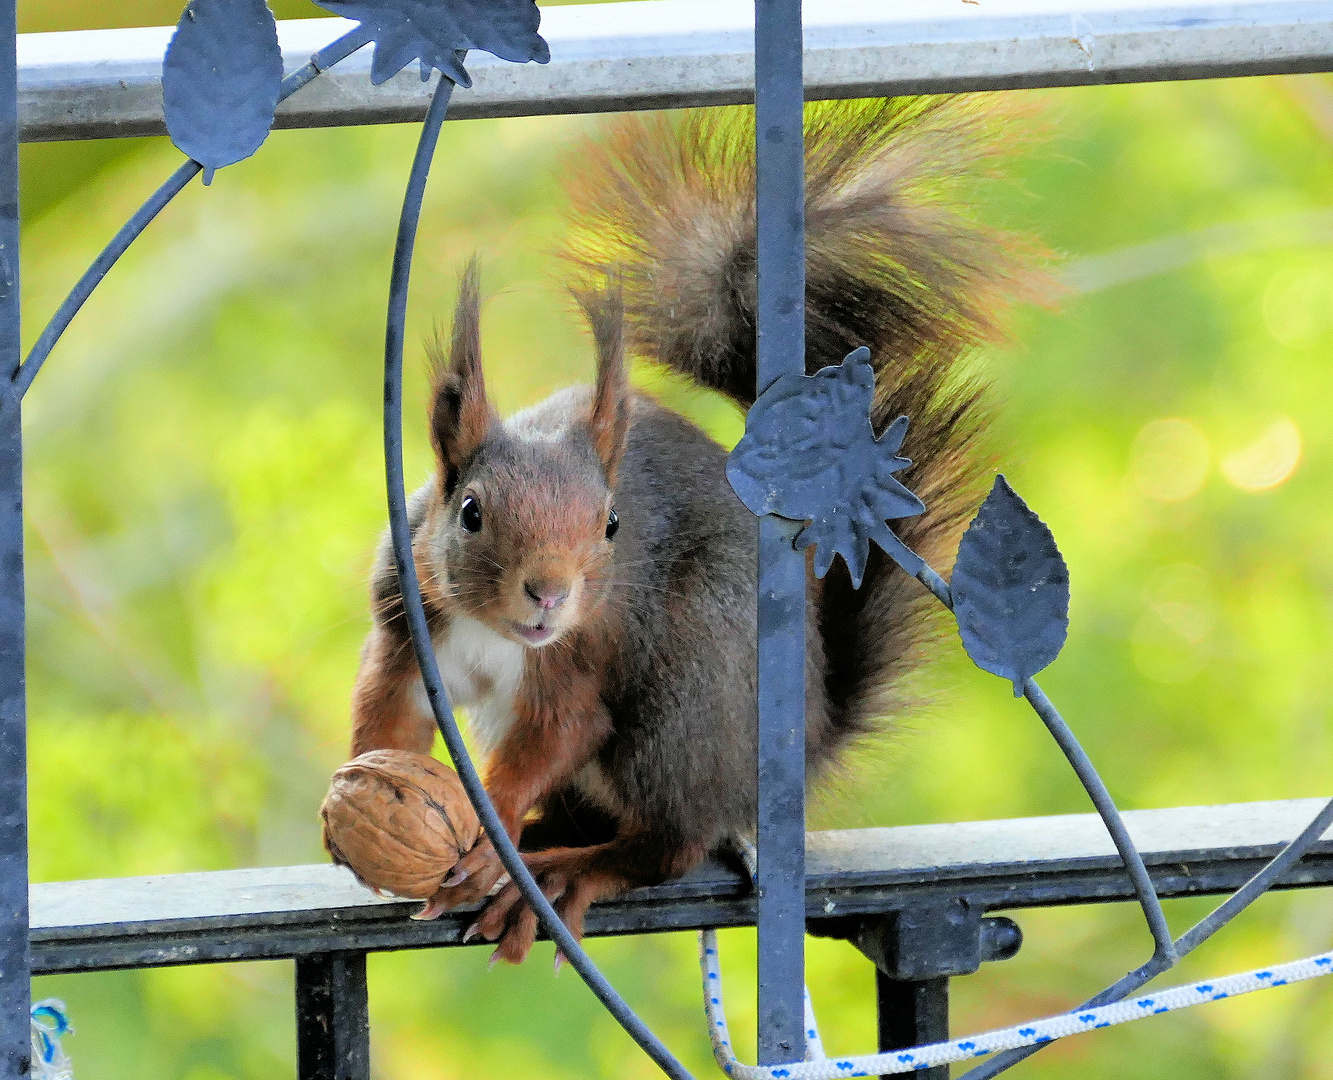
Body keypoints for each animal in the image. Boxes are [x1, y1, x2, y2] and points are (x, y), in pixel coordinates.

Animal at [351, 98, 1029, 960]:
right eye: (471, 513)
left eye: (611, 525)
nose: (549, 594)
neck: (493, 631)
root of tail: (804, 745)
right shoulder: (404, 627)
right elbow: (387, 718)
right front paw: (358, 797)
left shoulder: (581, 662)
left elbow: (557, 734)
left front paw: (489, 829)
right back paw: (544, 840)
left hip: (685, 699)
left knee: (669, 842)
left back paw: (570, 868)